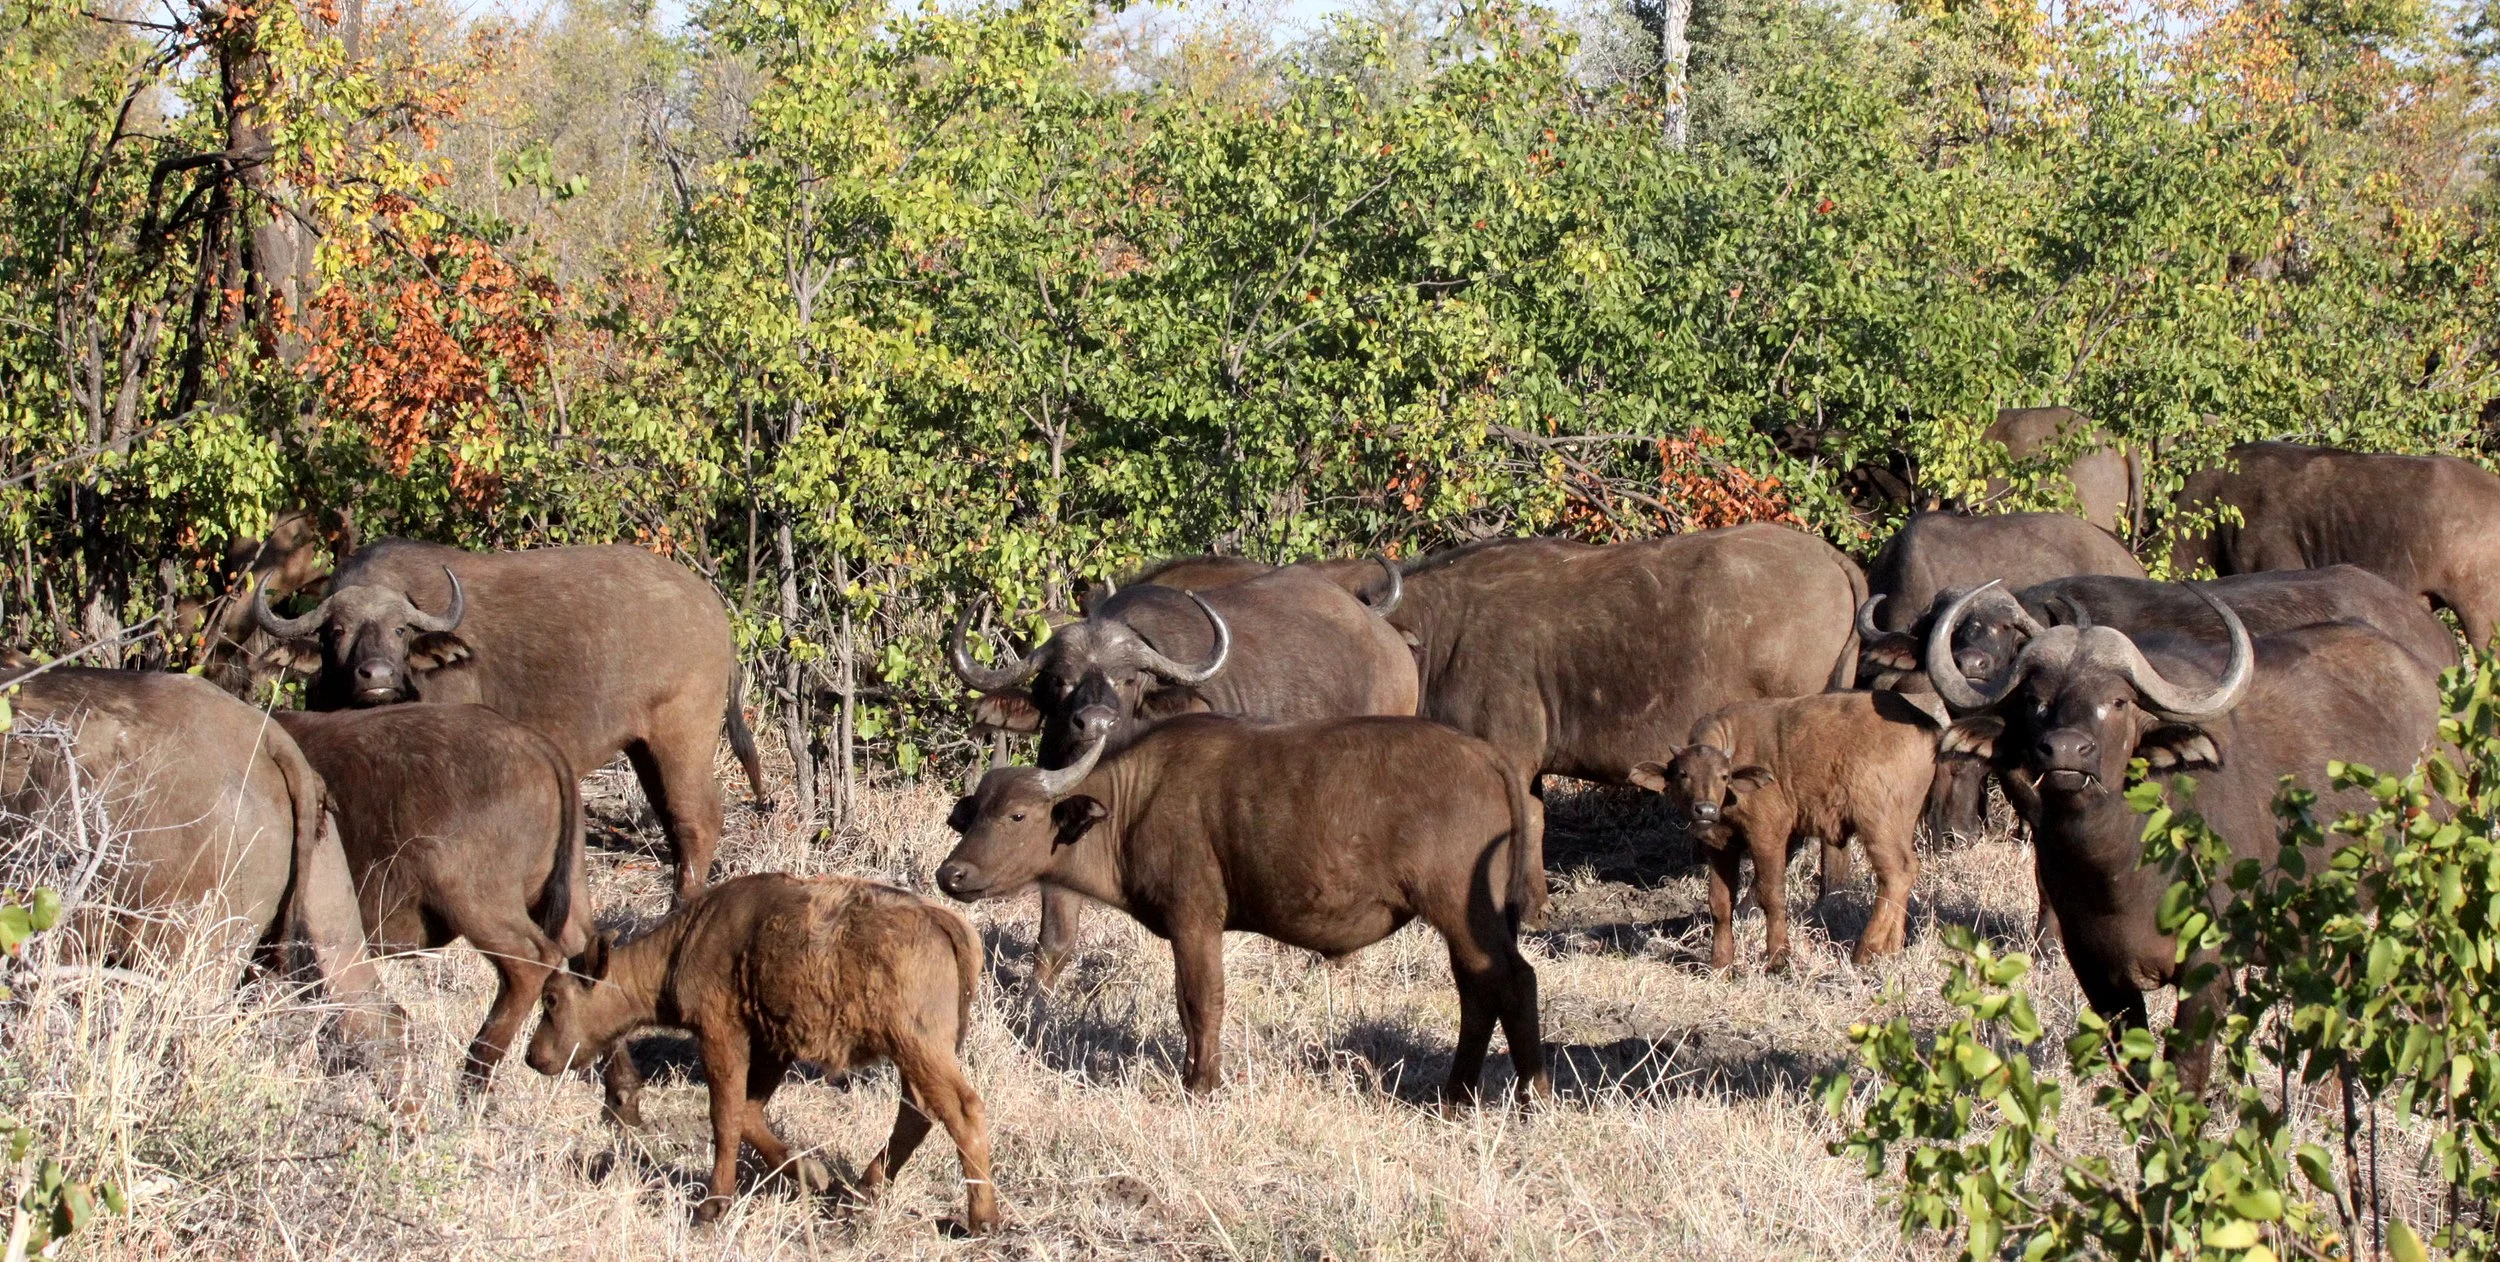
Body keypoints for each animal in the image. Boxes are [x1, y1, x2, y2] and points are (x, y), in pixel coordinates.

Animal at [255, 539, 764, 902]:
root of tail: (712, 610)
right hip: (644, 746)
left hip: (682, 735)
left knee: (698, 817)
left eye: (399, 630)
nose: (376, 676)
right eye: (336, 631)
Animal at [1924, 582, 2438, 1089]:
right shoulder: (2096, 970)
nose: (2066, 751)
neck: (2116, 870)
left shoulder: (2206, 969)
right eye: (2035, 700)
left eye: (2118, 701)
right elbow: (2133, 1071)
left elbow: (2185, 1070)